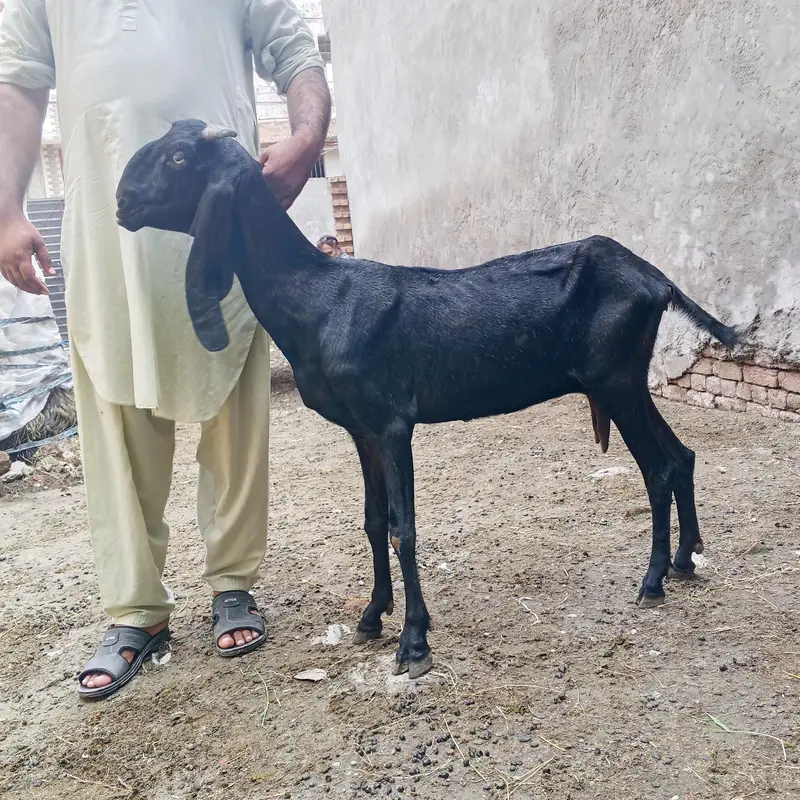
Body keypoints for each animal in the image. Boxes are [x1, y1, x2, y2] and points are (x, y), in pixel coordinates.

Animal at [116, 120, 739, 679]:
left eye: (177, 158)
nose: (122, 200)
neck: (320, 298)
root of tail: (657, 281)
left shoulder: (393, 422)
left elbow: (402, 528)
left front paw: (414, 641)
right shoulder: (361, 429)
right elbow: (373, 522)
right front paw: (372, 617)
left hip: (615, 380)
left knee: (657, 468)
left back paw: (653, 580)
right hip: (626, 381)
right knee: (681, 457)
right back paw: (685, 561)